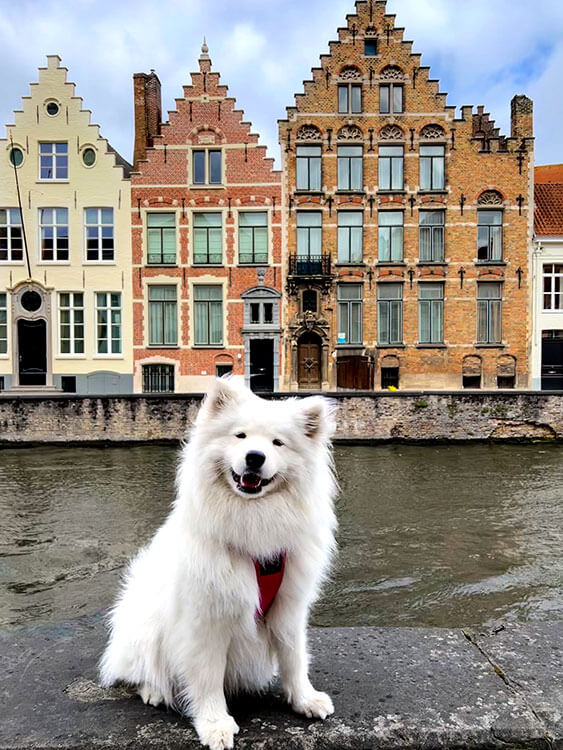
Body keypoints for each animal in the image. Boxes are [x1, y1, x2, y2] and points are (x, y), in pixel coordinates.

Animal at [100, 382, 340, 750]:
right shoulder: (207, 619)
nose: (255, 457)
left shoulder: (289, 608)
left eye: (277, 443)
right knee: (141, 671)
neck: (254, 526)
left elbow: (294, 659)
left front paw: (305, 700)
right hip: (145, 628)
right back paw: (154, 691)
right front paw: (215, 724)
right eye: (240, 436)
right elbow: (208, 676)